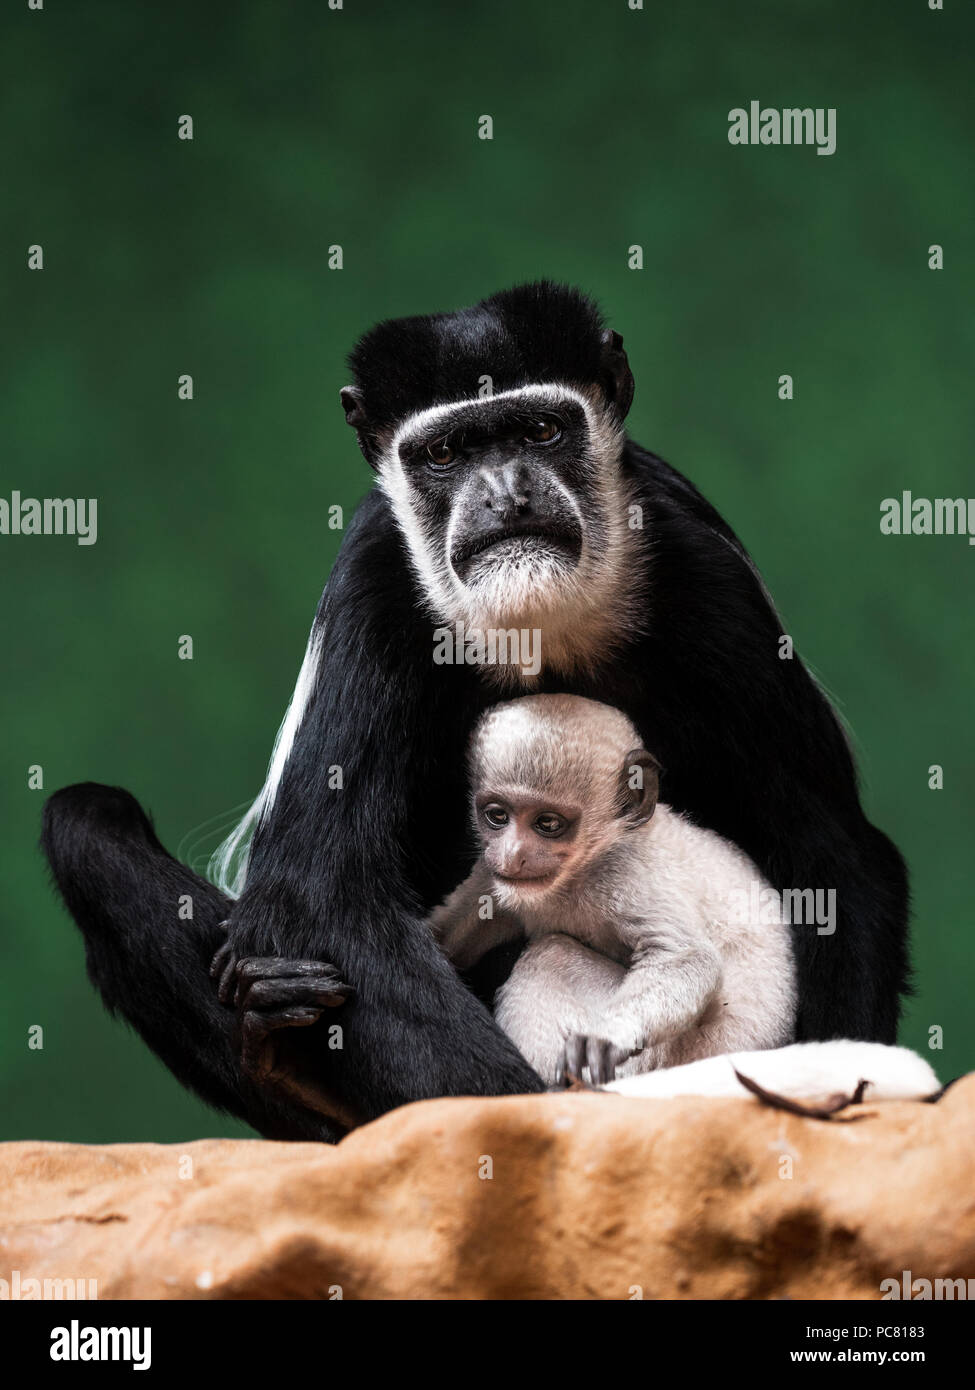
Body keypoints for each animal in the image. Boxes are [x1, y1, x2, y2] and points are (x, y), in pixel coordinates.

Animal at [430, 694, 797, 1086]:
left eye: (548, 824)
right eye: (497, 816)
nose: (513, 854)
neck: (581, 870)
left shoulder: (626, 872)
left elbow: (686, 957)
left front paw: (608, 1035)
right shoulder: (491, 871)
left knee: (551, 954)